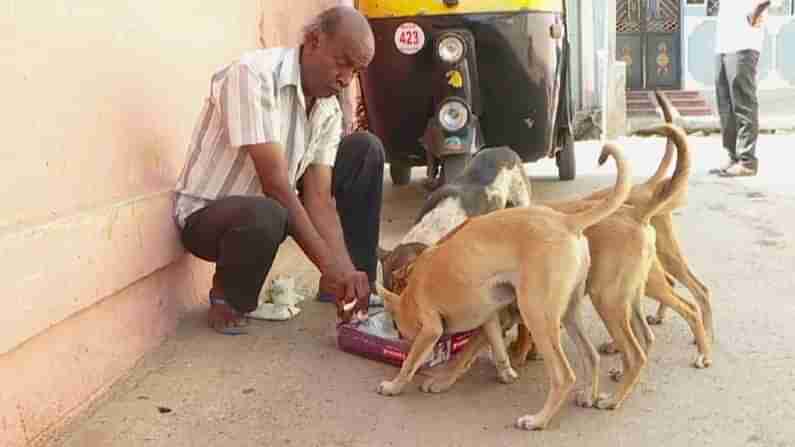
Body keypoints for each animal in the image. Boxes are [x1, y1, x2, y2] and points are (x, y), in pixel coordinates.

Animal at [374, 144, 636, 430]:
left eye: (400, 328)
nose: (398, 337)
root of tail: (567, 221)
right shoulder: (489, 314)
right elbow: (495, 344)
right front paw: (505, 370)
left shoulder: (432, 326)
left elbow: (413, 363)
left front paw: (396, 385)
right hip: (568, 312)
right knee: (591, 355)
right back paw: (588, 395)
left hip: (537, 314)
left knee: (564, 375)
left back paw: (538, 419)